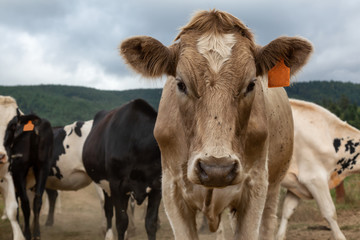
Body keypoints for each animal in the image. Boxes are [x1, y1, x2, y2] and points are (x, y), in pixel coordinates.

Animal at [4, 110, 53, 240]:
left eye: (11, 126)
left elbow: (16, 205)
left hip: (19, 171)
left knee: (25, 202)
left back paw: (27, 233)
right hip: (43, 168)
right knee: (37, 200)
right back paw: (36, 233)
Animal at [83, 99, 162, 240]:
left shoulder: (157, 186)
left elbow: (151, 223)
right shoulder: (116, 184)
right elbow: (121, 222)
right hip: (106, 185)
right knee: (108, 209)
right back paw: (108, 235)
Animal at [120, 9, 312, 240]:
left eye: (251, 84)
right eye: (181, 84)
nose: (216, 169)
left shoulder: (256, 186)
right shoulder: (171, 190)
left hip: (273, 187)